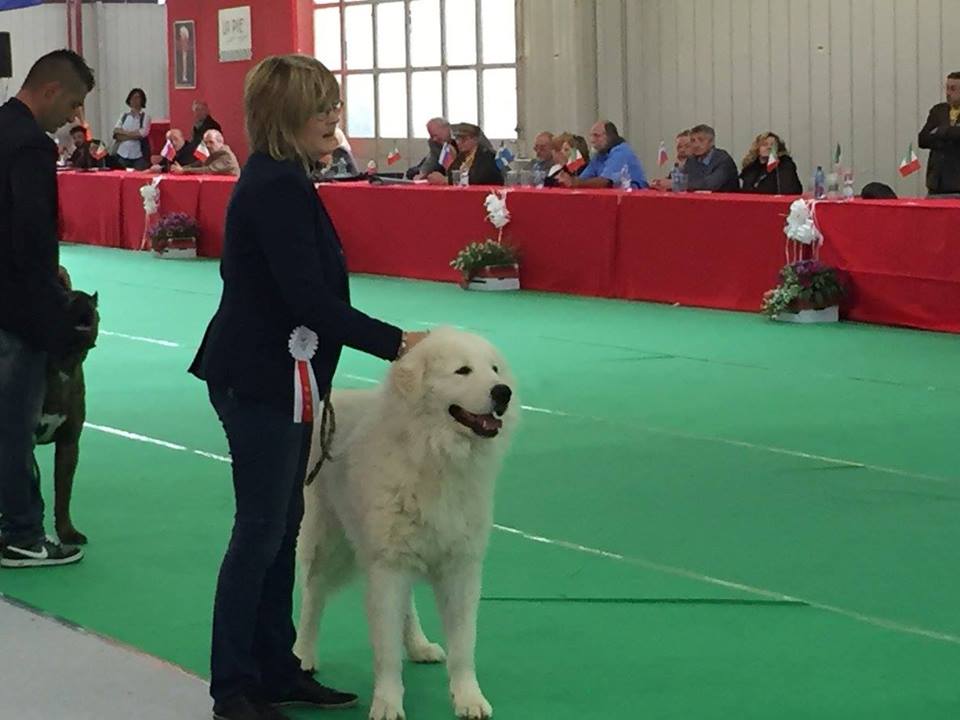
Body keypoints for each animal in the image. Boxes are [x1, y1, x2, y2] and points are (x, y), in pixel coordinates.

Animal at [294, 327, 518, 720]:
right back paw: (302, 654)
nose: (502, 392)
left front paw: (469, 698)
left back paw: (418, 645)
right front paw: (387, 703)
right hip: (330, 542)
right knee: (313, 593)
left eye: (494, 369)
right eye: (463, 371)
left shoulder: (460, 567)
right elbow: (386, 651)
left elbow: (464, 645)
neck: (434, 454)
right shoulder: (388, 565)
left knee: (407, 605)